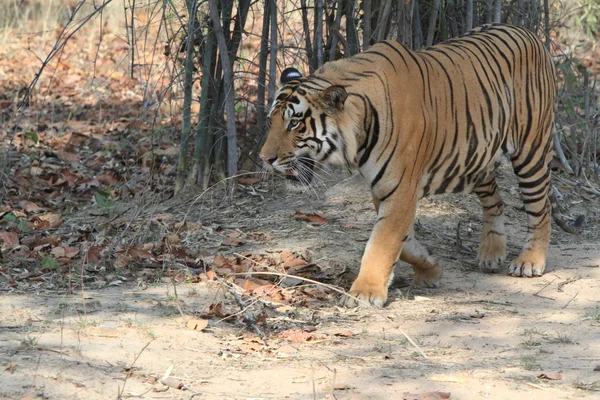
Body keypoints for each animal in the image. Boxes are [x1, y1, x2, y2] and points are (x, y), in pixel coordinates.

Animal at [262, 23, 572, 308]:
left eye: (294, 123)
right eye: (270, 122)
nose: (265, 159)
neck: (359, 131)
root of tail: (528, 32)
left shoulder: (400, 189)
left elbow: (381, 244)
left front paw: (364, 293)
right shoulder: (384, 189)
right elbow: (404, 244)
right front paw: (430, 268)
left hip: (531, 150)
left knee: (540, 207)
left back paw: (529, 261)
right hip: (476, 156)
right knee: (495, 201)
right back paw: (491, 252)